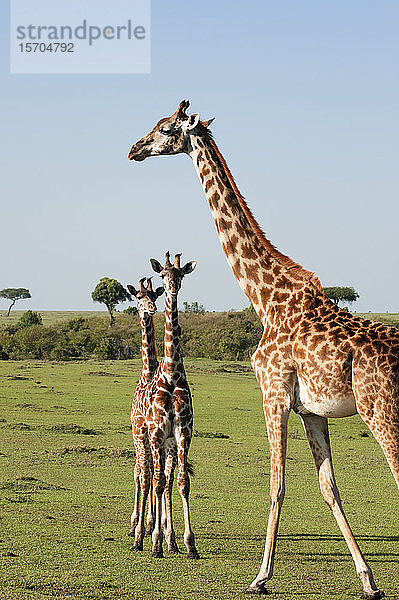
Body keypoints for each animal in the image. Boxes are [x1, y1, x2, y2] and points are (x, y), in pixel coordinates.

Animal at [130, 101, 398, 596]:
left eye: (165, 129)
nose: (134, 148)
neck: (265, 298)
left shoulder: (272, 394)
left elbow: (276, 485)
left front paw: (260, 576)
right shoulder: (311, 410)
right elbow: (328, 488)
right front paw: (368, 579)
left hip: (381, 412)